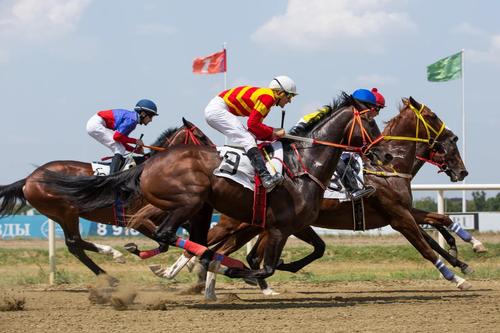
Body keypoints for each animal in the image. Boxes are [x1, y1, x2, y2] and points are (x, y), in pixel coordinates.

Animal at [0, 118, 213, 282]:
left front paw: (192, 264)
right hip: (66, 212)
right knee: (74, 242)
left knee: (74, 244)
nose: (214, 151)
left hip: (60, 215)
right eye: (201, 136)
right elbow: (164, 242)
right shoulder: (136, 219)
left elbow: (187, 235)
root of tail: (28, 179)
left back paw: (110, 268)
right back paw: (113, 260)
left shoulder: (170, 213)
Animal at [39, 91, 390, 282]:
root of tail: (148, 164)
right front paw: (242, 272)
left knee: (181, 238)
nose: (384, 153)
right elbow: (264, 268)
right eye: (369, 121)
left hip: (199, 209)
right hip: (189, 201)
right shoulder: (279, 227)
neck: (304, 165)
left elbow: (316, 249)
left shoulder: (293, 225)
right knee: (170, 235)